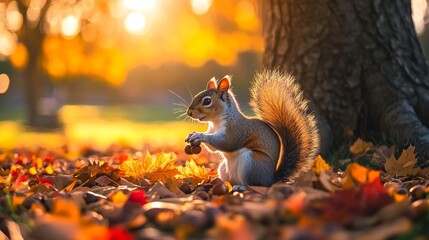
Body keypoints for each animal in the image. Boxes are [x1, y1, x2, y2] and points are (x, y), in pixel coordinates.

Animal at [184, 70, 318, 188]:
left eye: (207, 101)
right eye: (196, 95)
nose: (189, 112)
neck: (216, 122)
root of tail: (270, 180)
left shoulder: (237, 130)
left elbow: (226, 143)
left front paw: (199, 135)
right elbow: (213, 148)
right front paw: (192, 135)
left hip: (251, 163)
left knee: (252, 184)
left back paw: (241, 187)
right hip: (224, 168)